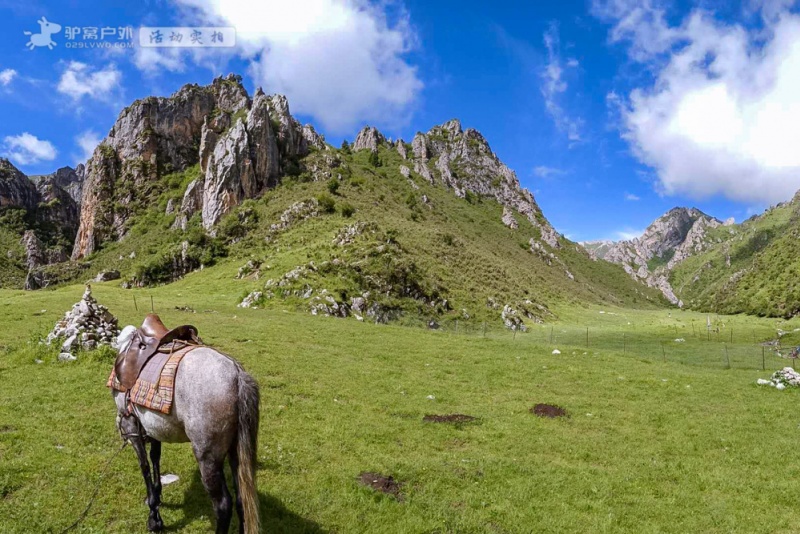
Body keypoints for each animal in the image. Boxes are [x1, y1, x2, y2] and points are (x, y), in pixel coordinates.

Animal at [111, 322, 260, 534]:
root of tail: (237, 375)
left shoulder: (130, 424)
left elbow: (145, 465)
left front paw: (154, 517)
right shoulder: (153, 426)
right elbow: (155, 458)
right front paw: (157, 496)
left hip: (207, 457)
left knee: (224, 505)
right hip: (236, 452)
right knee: (242, 500)